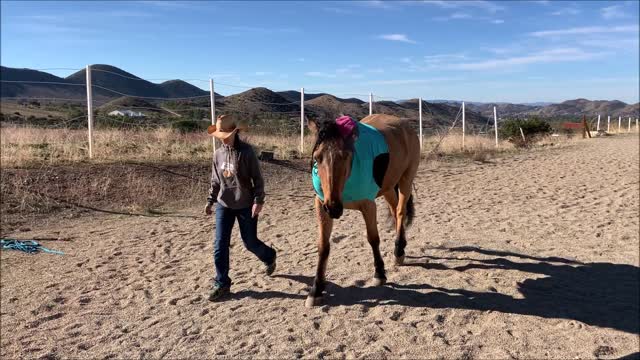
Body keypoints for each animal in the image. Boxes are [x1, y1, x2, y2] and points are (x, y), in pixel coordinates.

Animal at [304, 113, 420, 306]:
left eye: (345, 156)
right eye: (318, 158)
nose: (334, 208)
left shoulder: (368, 205)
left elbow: (373, 239)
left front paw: (379, 273)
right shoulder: (321, 205)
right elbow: (323, 246)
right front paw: (316, 289)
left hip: (406, 179)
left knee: (400, 212)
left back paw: (398, 251)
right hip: (388, 187)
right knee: (395, 212)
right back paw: (401, 247)